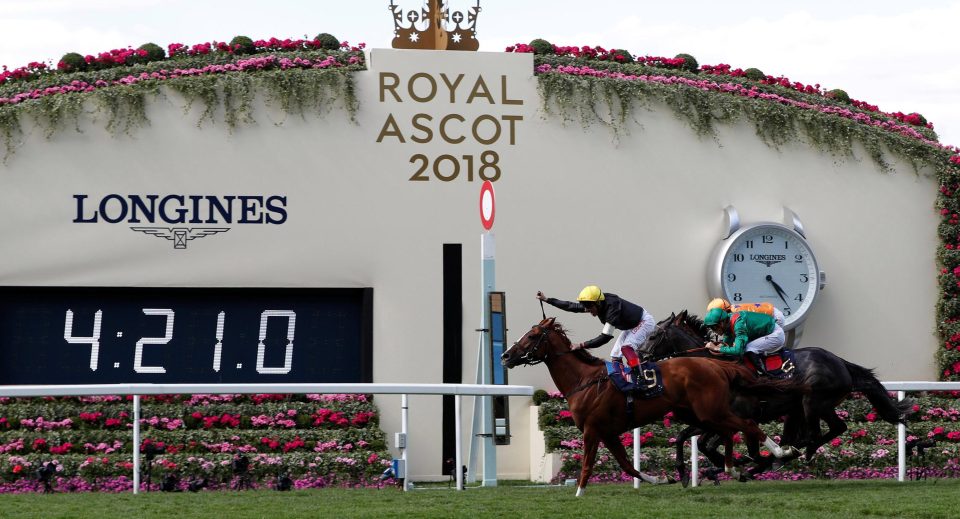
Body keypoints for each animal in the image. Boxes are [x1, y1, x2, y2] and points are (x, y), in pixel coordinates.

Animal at [498, 316, 808, 496]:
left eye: (532, 335)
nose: (505, 356)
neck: (584, 381)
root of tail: (717, 365)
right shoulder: (608, 432)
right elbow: (627, 465)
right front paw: (661, 479)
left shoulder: (592, 430)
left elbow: (586, 465)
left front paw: (578, 494)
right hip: (702, 413)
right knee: (731, 431)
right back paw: (735, 467)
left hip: (710, 411)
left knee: (746, 425)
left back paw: (781, 451)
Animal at [640, 310, 912, 486]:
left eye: (653, 336)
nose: (640, 357)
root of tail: (841, 362)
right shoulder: (713, 419)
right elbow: (690, 439)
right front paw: (692, 472)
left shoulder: (738, 418)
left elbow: (724, 447)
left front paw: (734, 468)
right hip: (809, 408)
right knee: (833, 428)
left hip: (812, 402)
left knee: (814, 434)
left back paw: (790, 455)